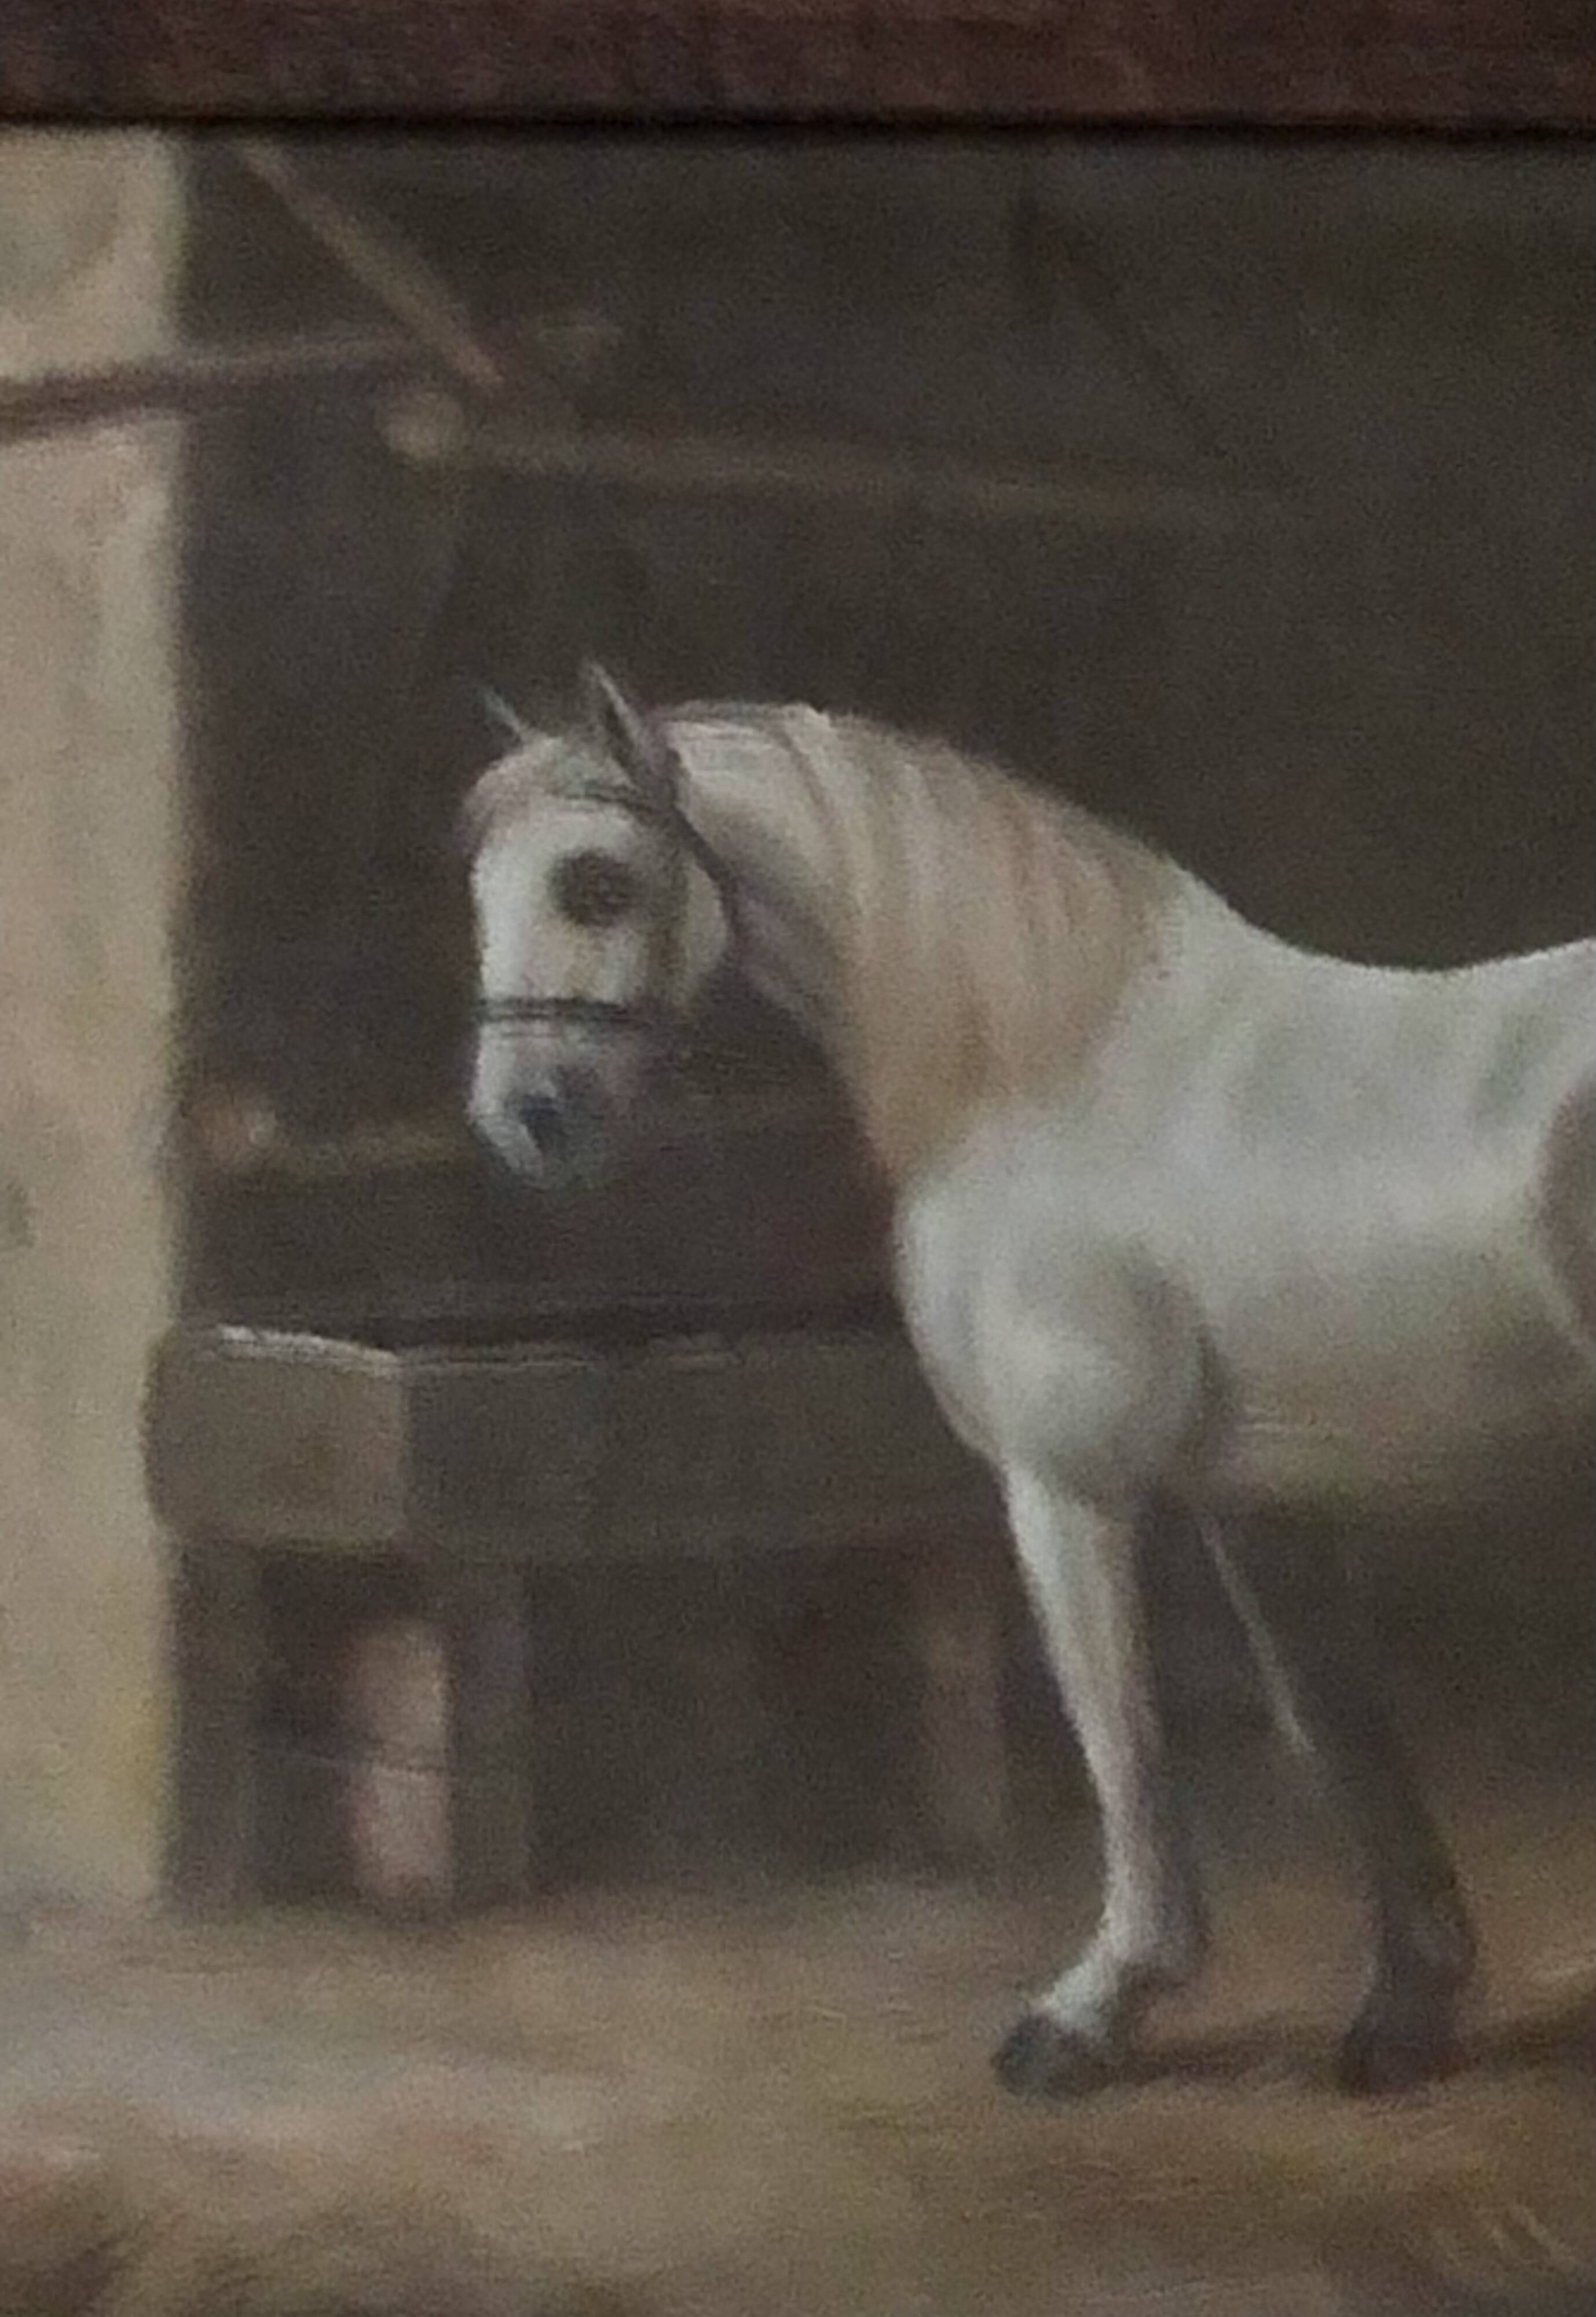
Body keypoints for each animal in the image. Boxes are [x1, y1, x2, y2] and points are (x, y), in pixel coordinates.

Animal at [462, 663, 1595, 2098]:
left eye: (596, 883)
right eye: (480, 890)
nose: (527, 1119)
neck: (1050, 1067)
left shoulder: (1066, 1492)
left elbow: (1121, 1739)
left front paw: (1090, 2010)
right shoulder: (1259, 1504)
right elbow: (1336, 1727)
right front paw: (1404, 2009)